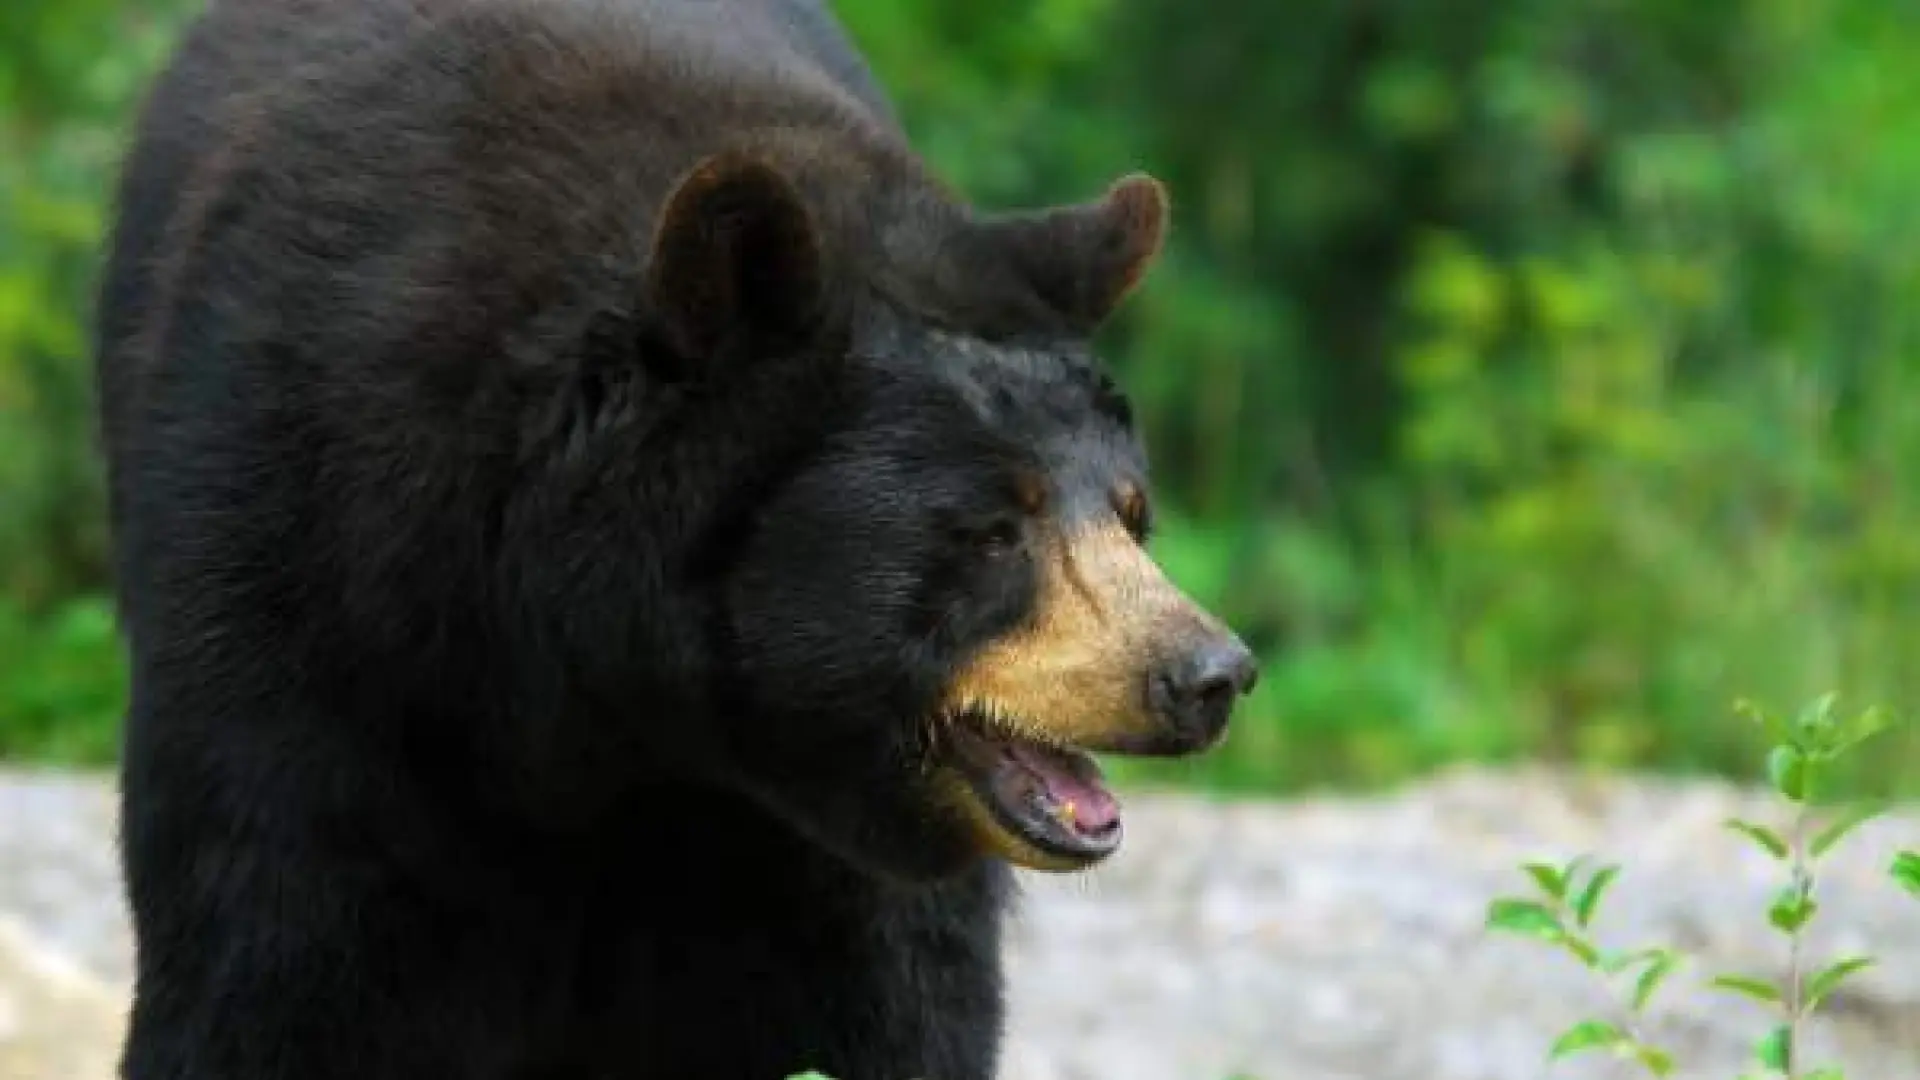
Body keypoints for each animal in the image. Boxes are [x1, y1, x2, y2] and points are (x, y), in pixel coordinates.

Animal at [93, 1, 1258, 1078]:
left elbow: (885, 1003)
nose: (1207, 673)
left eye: (1130, 510)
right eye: (991, 529)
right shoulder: (312, 593)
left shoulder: (802, 840)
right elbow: (283, 953)